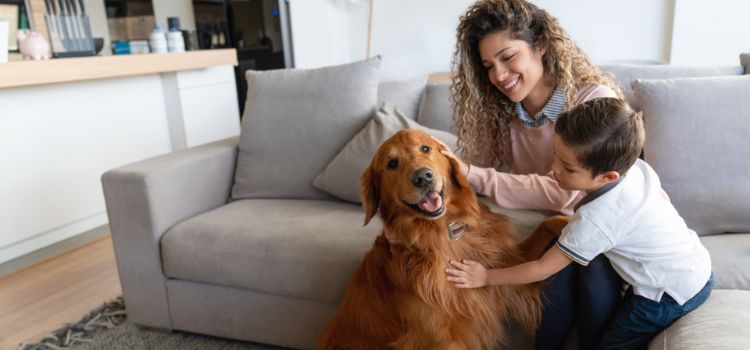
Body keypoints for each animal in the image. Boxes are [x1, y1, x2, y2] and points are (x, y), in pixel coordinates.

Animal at [318, 130, 568, 348]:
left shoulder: (508, 264)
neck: (445, 232)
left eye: (425, 148)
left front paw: (571, 221)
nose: (423, 177)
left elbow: (548, 225)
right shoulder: (440, 339)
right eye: (392, 164)